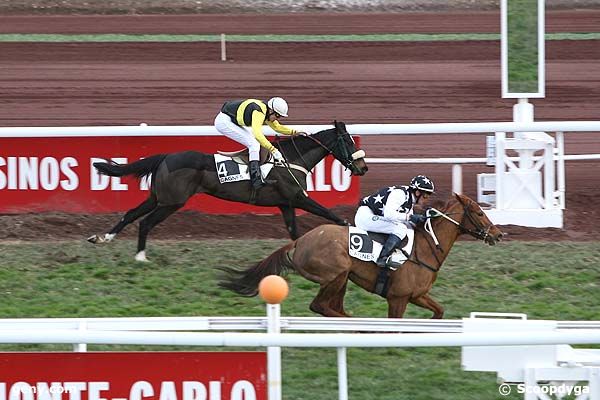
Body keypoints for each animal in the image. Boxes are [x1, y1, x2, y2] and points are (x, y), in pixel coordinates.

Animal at [219, 194, 502, 318]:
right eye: (479, 212)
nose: (498, 234)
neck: (425, 249)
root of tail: (299, 240)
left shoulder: (417, 295)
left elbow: (439, 311)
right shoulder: (398, 298)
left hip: (343, 278)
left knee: (330, 307)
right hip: (337, 273)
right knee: (320, 306)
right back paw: (355, 323)